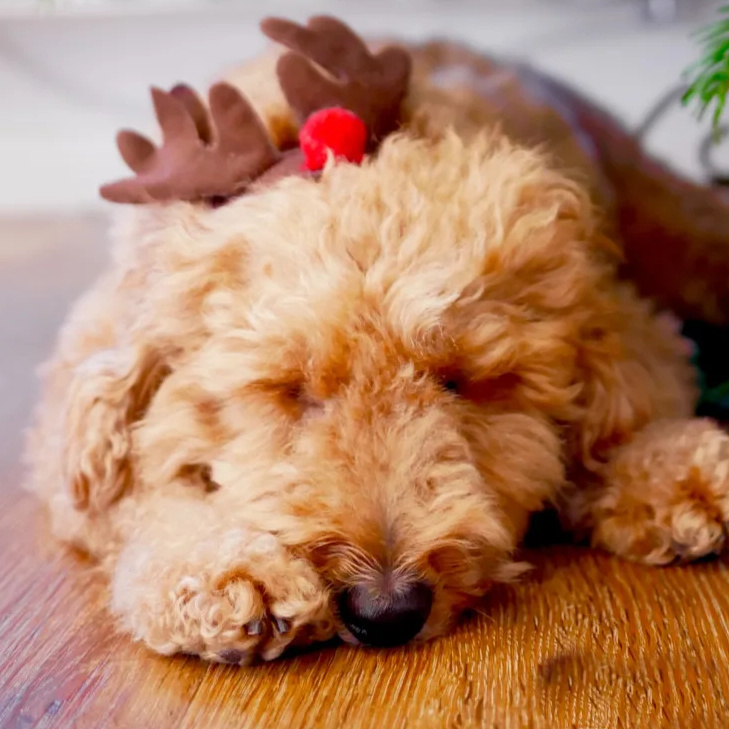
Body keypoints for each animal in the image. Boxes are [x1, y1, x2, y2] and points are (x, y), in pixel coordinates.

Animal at [25, 15, 728, 664]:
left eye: (458, 381)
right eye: (291, 390)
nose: (386, 611)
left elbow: (623, 415)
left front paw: (675, 470)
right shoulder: (77, 426)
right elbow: (140, 497)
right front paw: (226, 571)